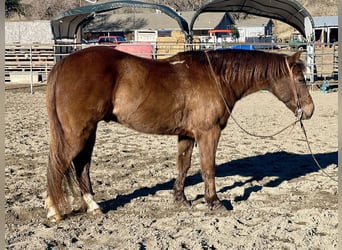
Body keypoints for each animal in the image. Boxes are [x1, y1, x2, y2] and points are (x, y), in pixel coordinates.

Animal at [46, 47, 316, 221]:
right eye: (301, 79)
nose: (310, 110)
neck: (216, 77)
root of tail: (62, 64)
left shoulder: (187, 135)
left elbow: (183, 165)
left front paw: (180, 198)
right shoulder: (208, 133)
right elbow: (208, 167)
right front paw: (214, 202)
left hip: (88, 133)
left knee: (81, 165)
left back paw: (92, 206)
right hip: (76, 135)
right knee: (59, 165)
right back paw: (54, 211)